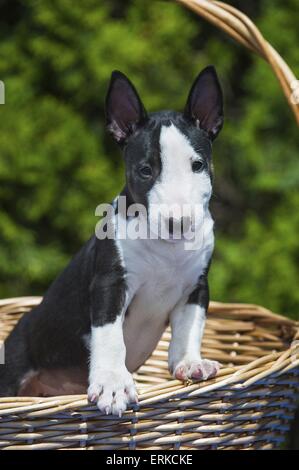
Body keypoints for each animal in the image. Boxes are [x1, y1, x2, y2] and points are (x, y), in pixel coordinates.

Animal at [0, 65, 224, 414]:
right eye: (145, 170)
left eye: (198, 165)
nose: (179, 223)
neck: (165, 248)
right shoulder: (109, 284)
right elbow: (110, 337)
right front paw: (114, 386)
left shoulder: (196, 287)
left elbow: (190, 327)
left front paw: (190, 363)